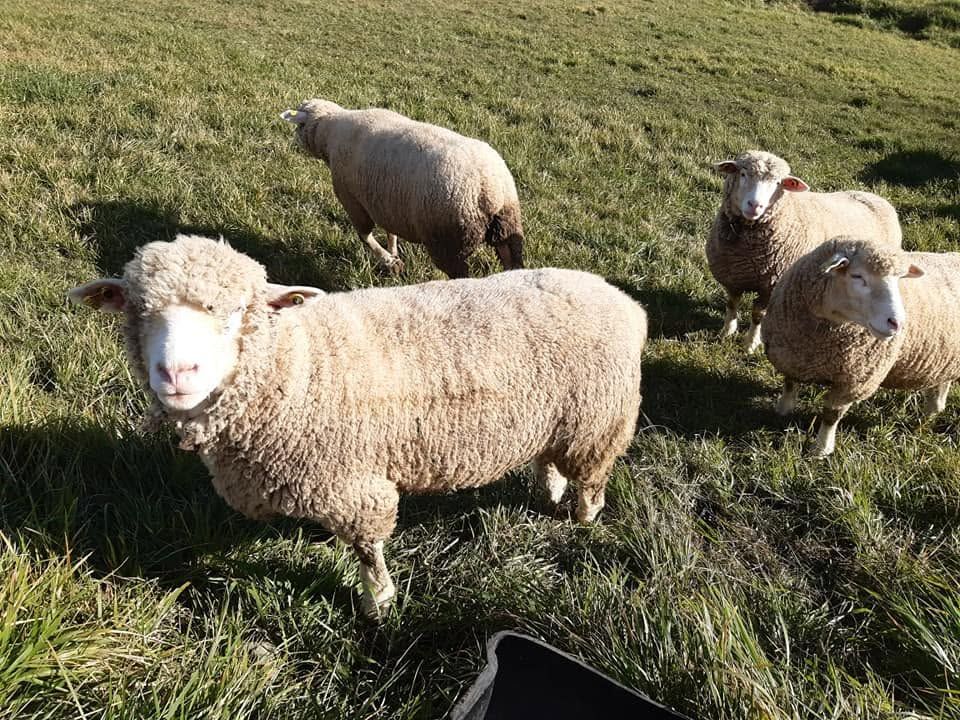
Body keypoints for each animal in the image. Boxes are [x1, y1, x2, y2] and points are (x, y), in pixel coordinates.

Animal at [69, 233, 647, 618]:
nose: (176, 373)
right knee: (549, 458)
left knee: (591, 478)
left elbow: (368, 550)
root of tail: (622, 300)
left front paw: (378, 602)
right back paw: (548, 491)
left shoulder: (354, 485)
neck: (300, 364)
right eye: (138, 312)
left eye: (236, 312)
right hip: (558, 418)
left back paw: (582, 518)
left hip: (599, 421)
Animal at [281, 99, 524, 279]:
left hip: (448, 242)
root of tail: (487, 188)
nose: (294, 142)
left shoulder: (352, 200)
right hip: (506, 227)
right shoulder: (385, 202)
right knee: (512, 264)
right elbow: (391, 232)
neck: (330, 133)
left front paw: (389, 262)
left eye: (299, 125)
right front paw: (394, 254)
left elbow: (365, 236)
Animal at [706, 150, 902, 353]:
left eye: (778, 183)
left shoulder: (771, 285)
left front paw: (751, 345)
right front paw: (726, 332)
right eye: (743, 174)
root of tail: (877, 197)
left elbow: (757, 315)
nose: (755, 205)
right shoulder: (732, 278)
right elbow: (731, 304)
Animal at [761, 236, 960, 457]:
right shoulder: (791, 356)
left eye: (898, 280)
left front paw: (821, 449)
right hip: (946, 362)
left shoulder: (854, 382)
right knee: (941, 387)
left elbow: (831, 416)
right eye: (857, 276)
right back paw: (928, 415)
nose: (897, 323)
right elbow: (789, 384)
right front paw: (782, 411)